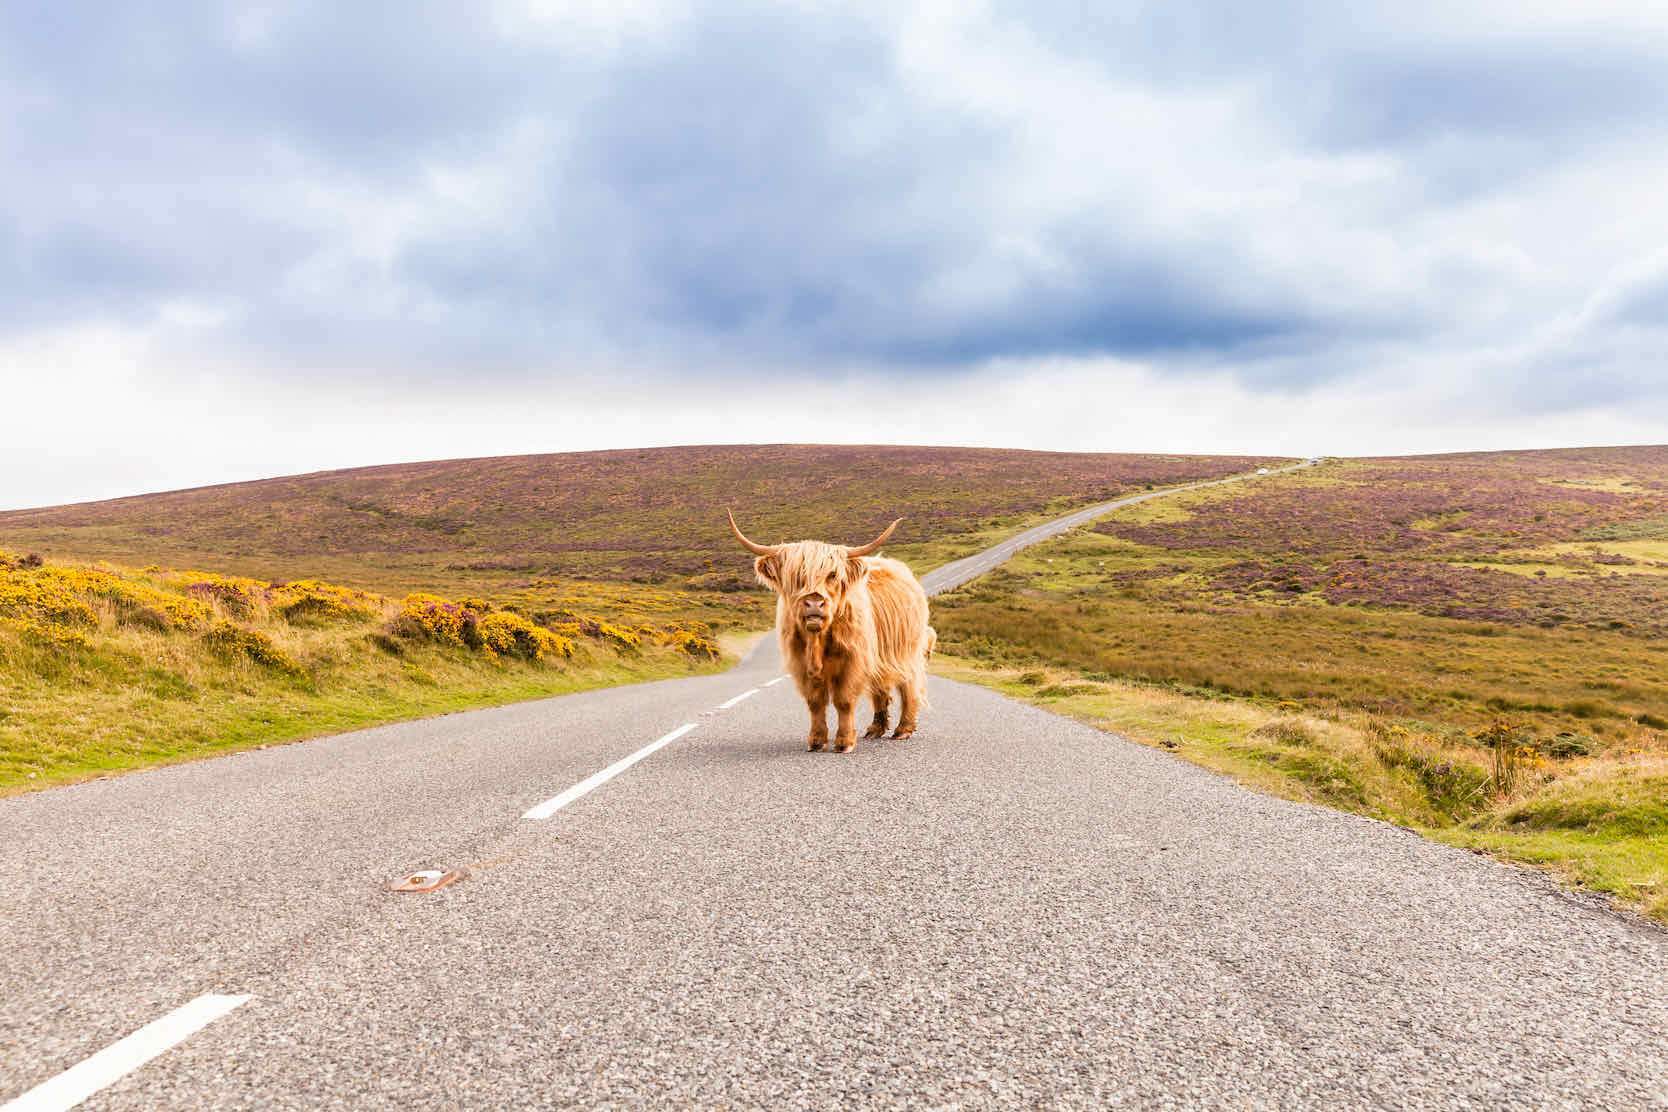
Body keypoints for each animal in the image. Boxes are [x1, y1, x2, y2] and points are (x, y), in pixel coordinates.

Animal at [728, 510, 934, 753]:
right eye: (796, 576)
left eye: (832, 575)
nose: (814, 603)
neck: (817, 641)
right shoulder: (801, 664)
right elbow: (815, 702)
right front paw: (817, 741)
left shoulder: (852, 660)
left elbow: (843, 700)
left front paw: (844, 742)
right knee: (880, 687)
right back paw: (875, 729)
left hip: (907, 652)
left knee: (909, 685)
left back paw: (903, 730)